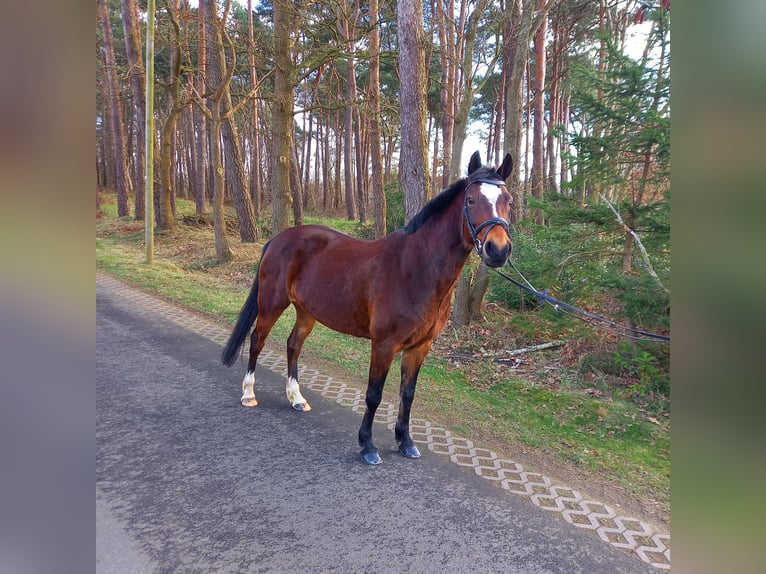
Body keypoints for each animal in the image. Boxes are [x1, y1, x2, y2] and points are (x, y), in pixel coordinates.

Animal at [219, 151, 512, 466]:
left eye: (509, 200)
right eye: (471, 200)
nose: (498, 250)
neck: (416, 268)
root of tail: (279, 239)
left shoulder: (420, 346)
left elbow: (408, 393)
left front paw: (405, 441)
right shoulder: (384, 344)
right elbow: (374, 394)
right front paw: (368, 446)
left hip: (307, 312)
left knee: (293, 345)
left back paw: (296, 398)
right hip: (272, 304)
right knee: (257, 341)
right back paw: (248, 393)